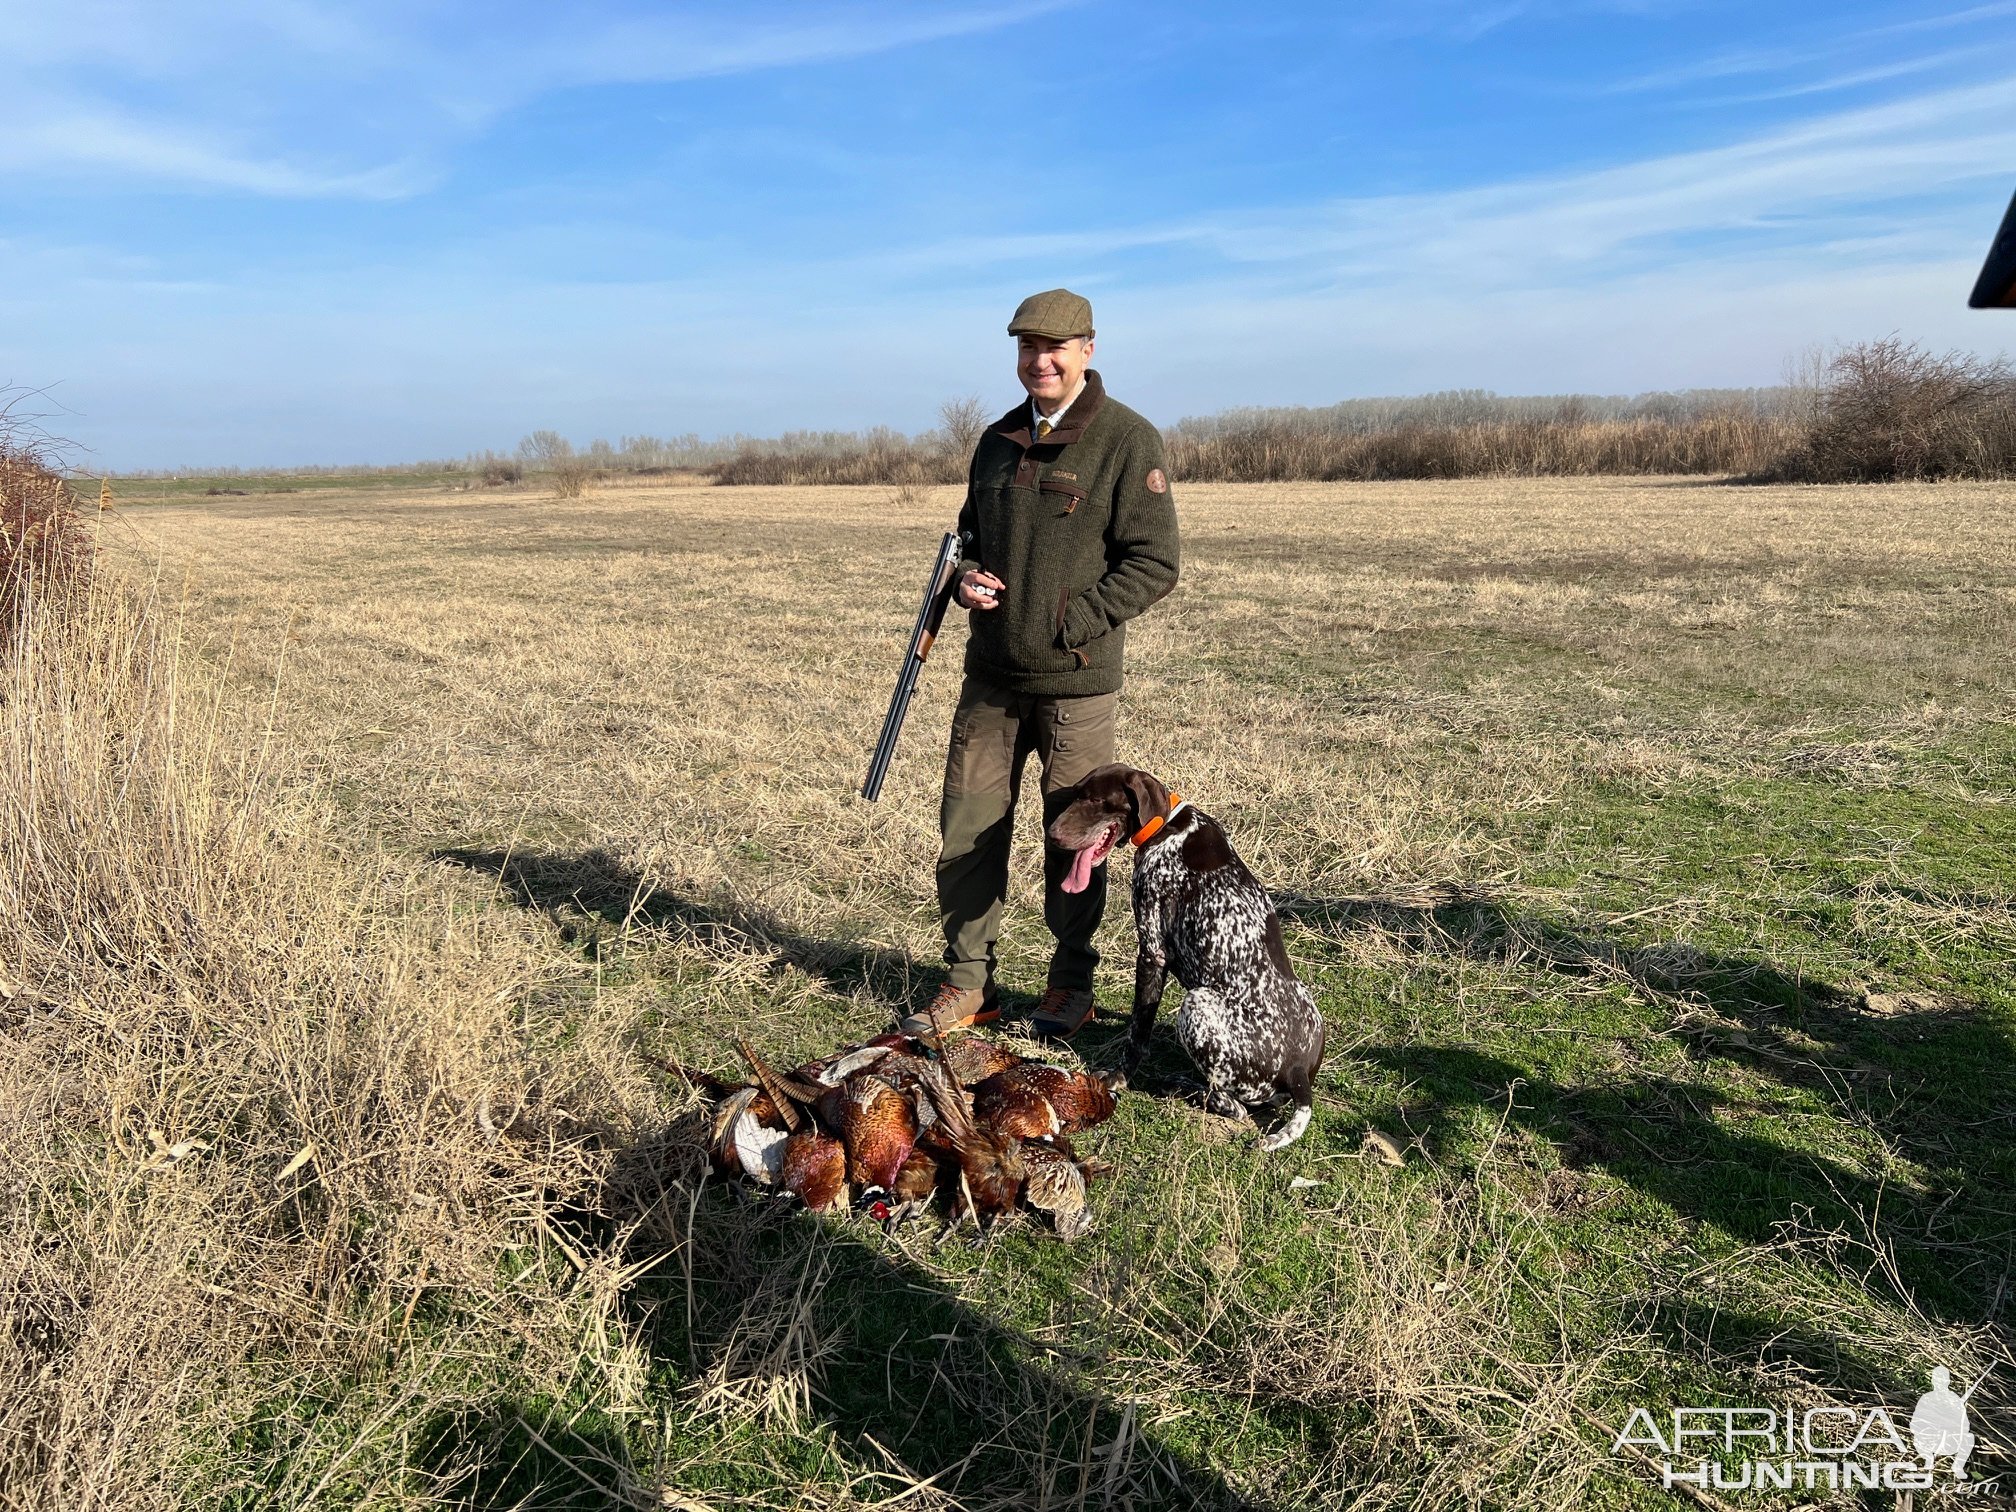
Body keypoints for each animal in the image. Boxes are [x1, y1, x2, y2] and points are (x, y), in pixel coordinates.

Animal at [1056, 762, 1322, 1153]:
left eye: (1096, 801)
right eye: (1077, 794)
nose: (1053, 835)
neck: (1167, 826)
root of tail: (1298, 1072)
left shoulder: (1152, 951)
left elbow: (1138, 1034)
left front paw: (1120, 1076)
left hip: (1197, 1003)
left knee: (1234, 1107)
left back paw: (1185, 1087)